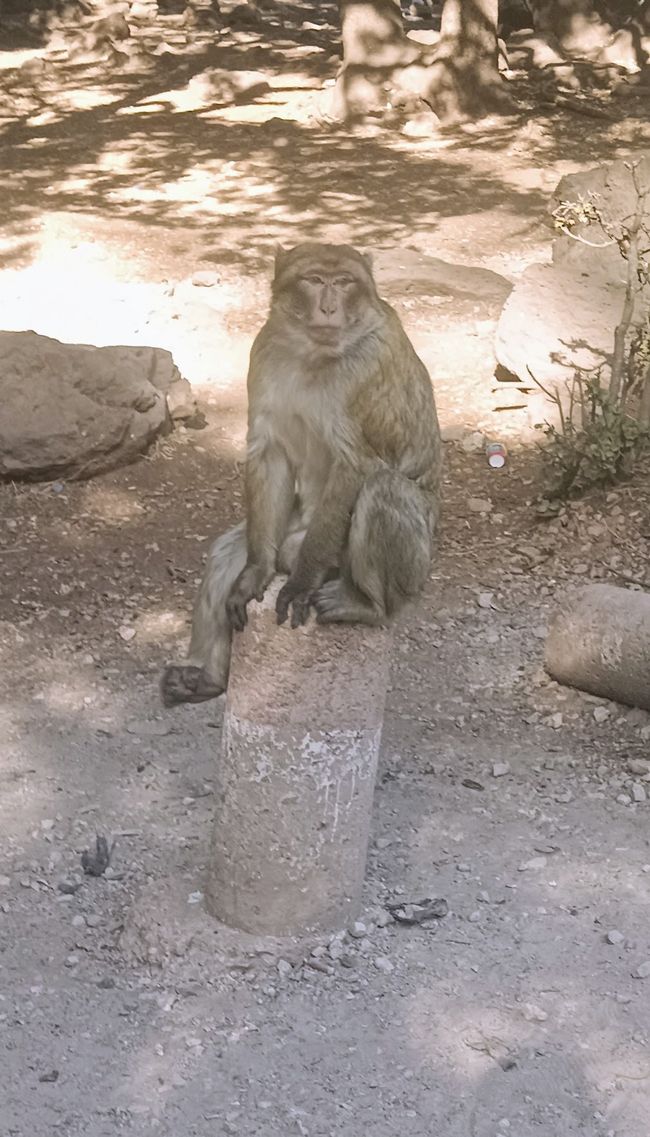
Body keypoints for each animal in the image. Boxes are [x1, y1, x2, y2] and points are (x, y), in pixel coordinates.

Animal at [161, 241, 442, 708]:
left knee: (384, 489)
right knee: (227, 551)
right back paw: (209, 678)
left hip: (414, 563)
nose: (328, 307)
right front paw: (255, 573)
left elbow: (356, 464)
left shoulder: (367, 369)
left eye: (344, 282)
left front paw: (301, 582)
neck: (313, 353)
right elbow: (269, 454)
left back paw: (365, 605)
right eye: (313, 280)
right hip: (289, 528)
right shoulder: (265, 350)